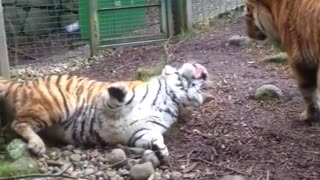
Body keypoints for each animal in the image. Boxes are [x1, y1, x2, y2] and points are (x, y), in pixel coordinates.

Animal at [0, 62, 208, 160]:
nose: (205, 73)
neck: (172, 98)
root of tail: (22, 84)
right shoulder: (106, 103)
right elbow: (117, 98)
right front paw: (117, 90)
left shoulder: (142, 131)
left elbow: (154, 137)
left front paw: (161, 150)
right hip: (58, 104)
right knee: (17, 123)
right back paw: (37, 145)